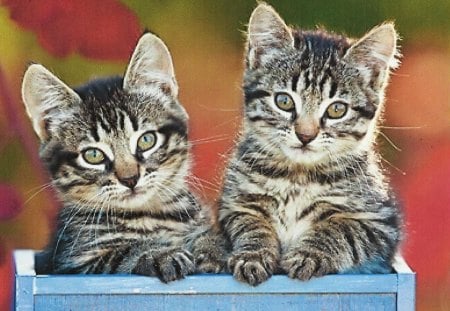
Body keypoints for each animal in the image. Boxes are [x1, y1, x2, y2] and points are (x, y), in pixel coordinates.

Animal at [22, 33, 225, 282]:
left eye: (146, 140)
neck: (149, 216)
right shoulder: (73, 262)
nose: (130, 179)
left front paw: (213, 248)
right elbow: (121, 253)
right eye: (93, 155)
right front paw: (160, 254)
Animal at [220, 3, 402, 286]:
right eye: (284, 101)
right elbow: (249, 223)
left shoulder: (381, 223)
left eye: (337, 109)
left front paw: (308, 255)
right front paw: (253, 254)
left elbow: (342, 228)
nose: (305, 135)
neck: (297, 177)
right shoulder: (233, 205)